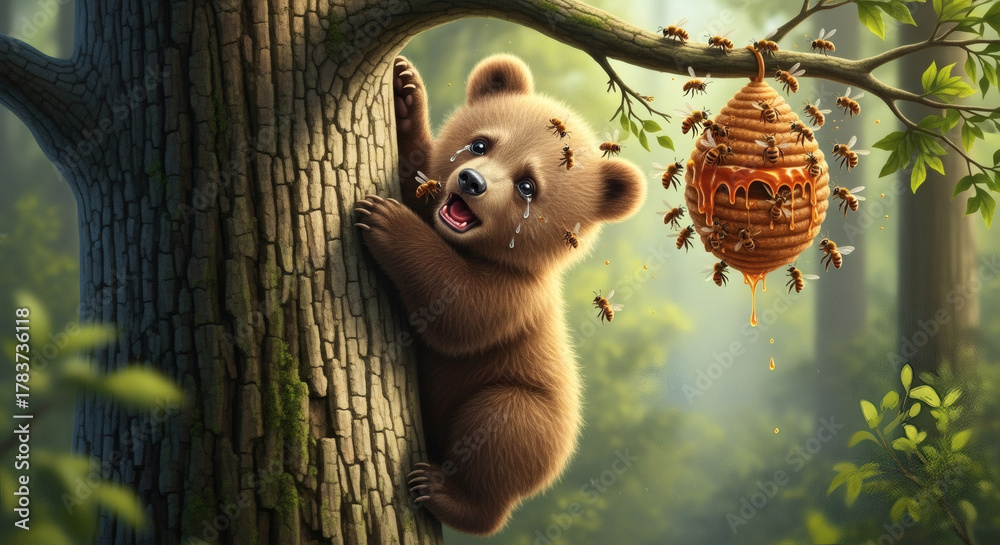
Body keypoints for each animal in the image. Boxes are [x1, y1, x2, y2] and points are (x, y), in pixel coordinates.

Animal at [353, 54, 645, 535]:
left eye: (528, 185)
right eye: (480, 144)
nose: (471, 182)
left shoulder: (517, 295)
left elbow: (459, 310)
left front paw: (386, 220)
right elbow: (415, 176)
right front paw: (404, 91)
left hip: (530, 418)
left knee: (498, 432)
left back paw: (446, 494)